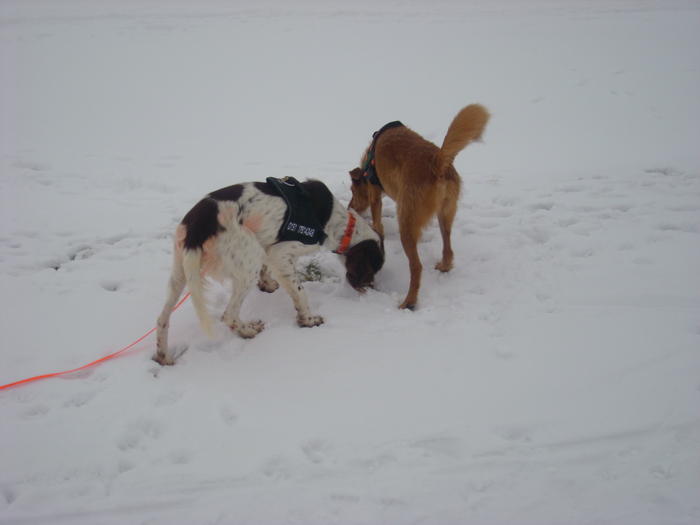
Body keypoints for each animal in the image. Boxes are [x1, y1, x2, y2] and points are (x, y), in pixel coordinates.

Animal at [154, 177, 382, 364]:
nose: (371, 288)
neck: (338, 224)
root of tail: (199, 224)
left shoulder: (269, 249)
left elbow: (269, 274)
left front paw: (267, 285)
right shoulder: (279, 254)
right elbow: (301, 293)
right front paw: (308, 320)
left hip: (180, 271)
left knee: (162, 319)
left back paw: (164, 356)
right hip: (249, 259)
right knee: (229, 315)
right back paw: (249, 331)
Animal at [348, 103, 490, 308]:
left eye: (352, 190)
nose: (350, 206)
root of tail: (437, 162)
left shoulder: (375, 196)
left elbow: (378, 223)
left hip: (407, 224)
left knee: (416, 267)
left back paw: (409, 302)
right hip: (445, 215)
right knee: (448, 248)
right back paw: (444, 266)